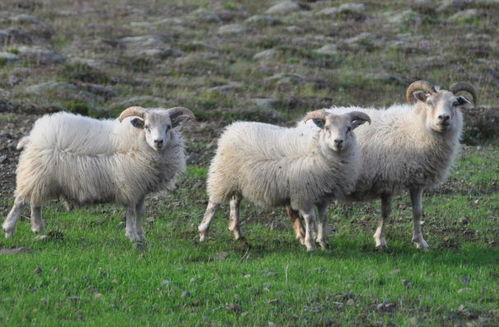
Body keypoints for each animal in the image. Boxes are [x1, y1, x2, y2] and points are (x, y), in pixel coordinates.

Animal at [2, 106, 195, 245]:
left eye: (168, 127)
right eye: (147, 127)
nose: (158, 141)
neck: (137, 142)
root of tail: (34, 136)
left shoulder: (141, 188)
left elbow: (140, 211)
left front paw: (141, 236)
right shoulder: (130, 185)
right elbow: (131, 211)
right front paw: (132, 236)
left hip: (42, 178)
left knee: (35, 201)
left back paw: (38, 228)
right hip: (35, 173)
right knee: (20, 200)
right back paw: (9, 230)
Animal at [196, 110, 372, 251]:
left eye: (349, 128)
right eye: (327, 128)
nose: (338, 141)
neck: (317, 149)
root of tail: (232, 128)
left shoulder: (323, 195)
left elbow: (323, 218)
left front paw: (323, 243)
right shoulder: (304, 193)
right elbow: (310, 218)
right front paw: (310, 244)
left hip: (238, 180)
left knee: (235, 203)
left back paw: (238, 233)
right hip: (222, 176)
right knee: (213, 204)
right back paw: (203, 233)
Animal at [288, 80, 478, 250]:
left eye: (455, 103)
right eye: (430, 102)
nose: (443, 118)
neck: (415, 129)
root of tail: (299, 126)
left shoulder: (417, 181)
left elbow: (417, 211)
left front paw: (420, 242)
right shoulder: (388, 181)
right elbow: (386, 212)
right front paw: (380, 241)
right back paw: (302, 236)